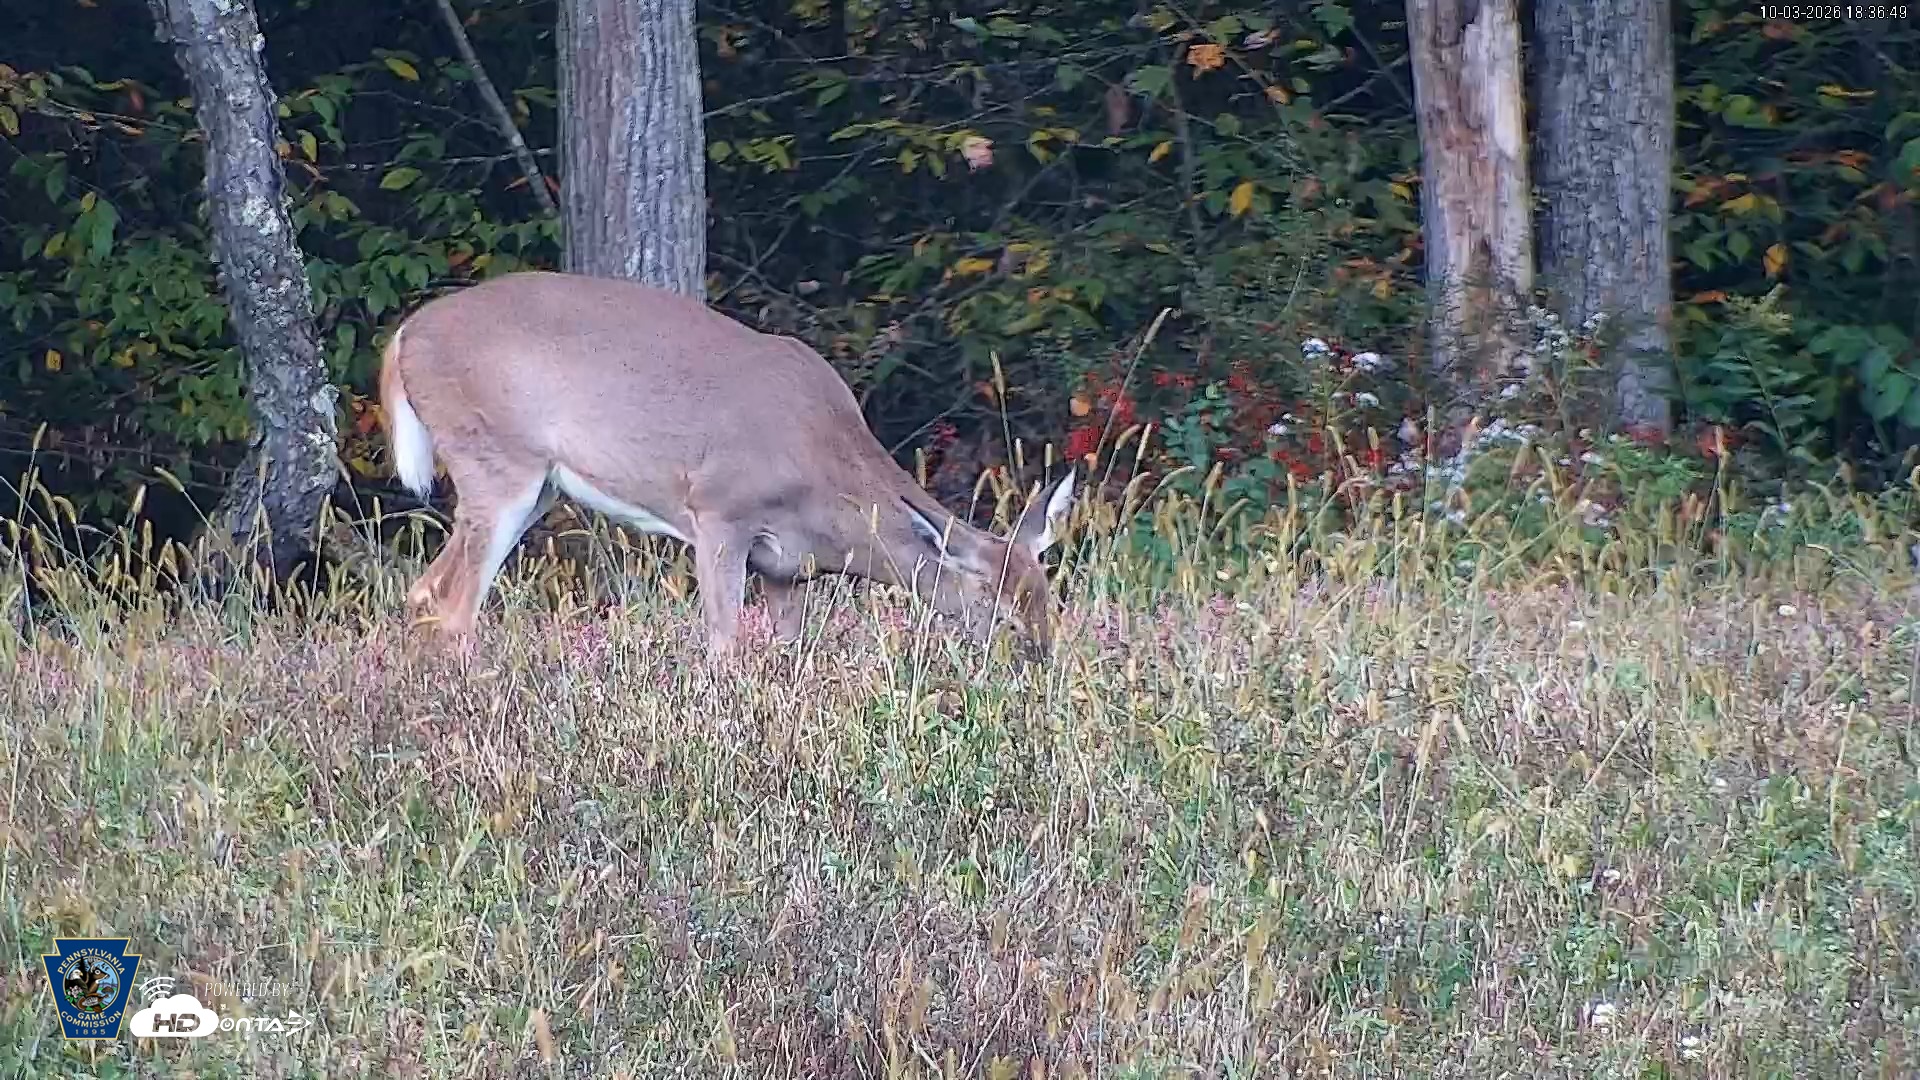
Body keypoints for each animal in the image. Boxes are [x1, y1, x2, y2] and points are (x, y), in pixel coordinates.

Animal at [376, 270, 1077, 663]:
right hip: (498, 458)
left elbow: (790, 654)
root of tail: (405, 335)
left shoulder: (789, 568)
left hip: (532, 482)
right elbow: (723, 646)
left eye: (1048, 599)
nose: (1042, 662)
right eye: (1000, 611)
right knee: (456, 606)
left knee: (423, 590)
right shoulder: (718, 512)